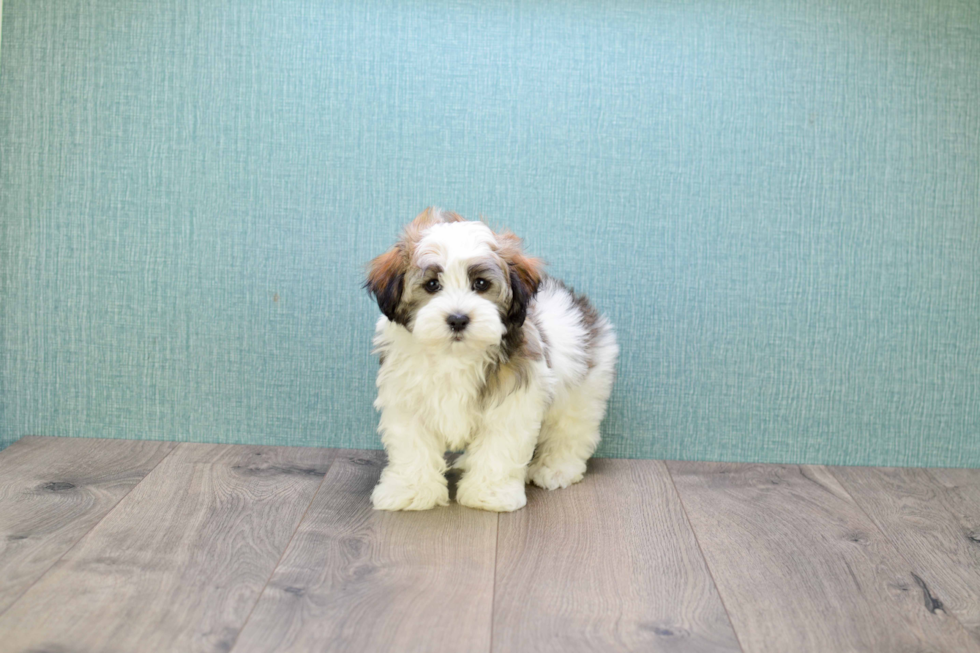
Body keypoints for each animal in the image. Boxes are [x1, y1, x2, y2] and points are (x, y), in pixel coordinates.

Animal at [368, 208, 620, 510]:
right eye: (432, 285)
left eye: (480, 284)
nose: (457, 319)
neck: (454, 356)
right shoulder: (407, 400)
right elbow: (412, 446)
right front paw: (411, 490)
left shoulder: (512, 401)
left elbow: (499, 447)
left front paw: (489, 493)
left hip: (583, 388)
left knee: (570, 429)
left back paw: (557, 467)